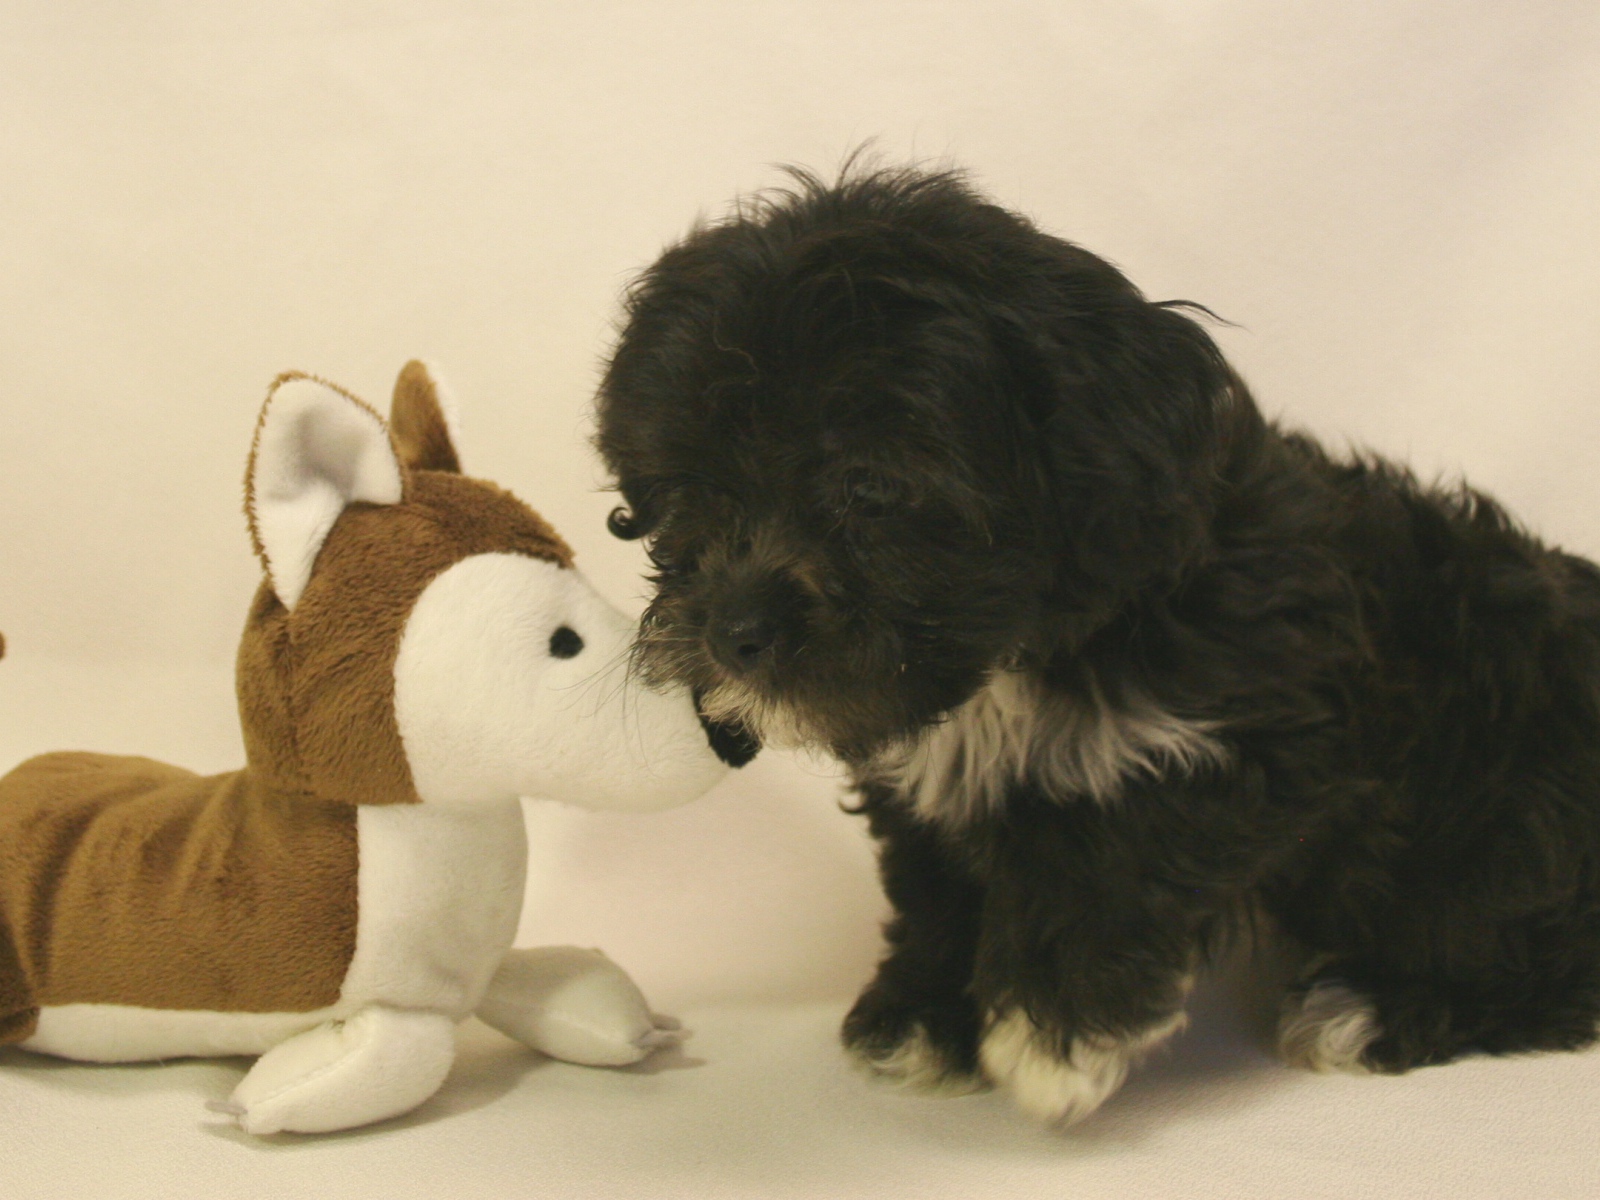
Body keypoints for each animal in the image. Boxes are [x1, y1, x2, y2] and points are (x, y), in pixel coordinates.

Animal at [593, 164, 1600, 1125]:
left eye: (867, 486)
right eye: (687, 494)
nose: (734, 632)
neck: (1014, 657)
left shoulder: (1254, 733)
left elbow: (1117, 857)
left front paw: (1054, 1034)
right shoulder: (932, 779)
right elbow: (937, 884)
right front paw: (924, 1015)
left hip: (1503, 807)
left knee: (1536, 951)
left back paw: (1374, 1004)